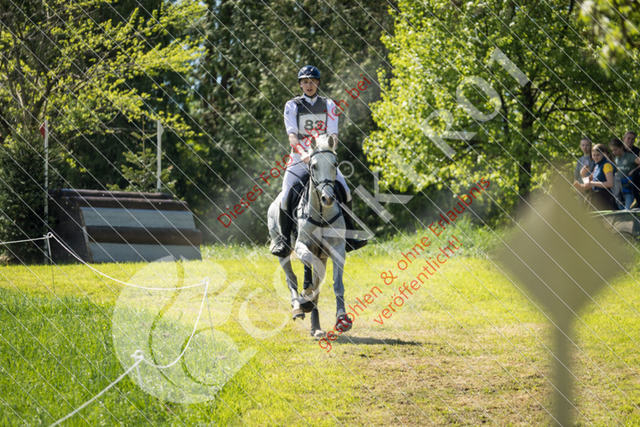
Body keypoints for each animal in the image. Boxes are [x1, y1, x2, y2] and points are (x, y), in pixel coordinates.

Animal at [267, 134, 353, 338]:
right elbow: (309, 270)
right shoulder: (302, 245)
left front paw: (342, 318)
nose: (328, 198)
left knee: (315, 282)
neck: (321, 212)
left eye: (335, 163)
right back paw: (298, 307)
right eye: (313, 165)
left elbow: (336, 284)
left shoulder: (337, 249)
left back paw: (316, 327)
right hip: (282, 251)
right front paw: (304, 299)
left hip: (323, 255)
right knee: (292, 278)